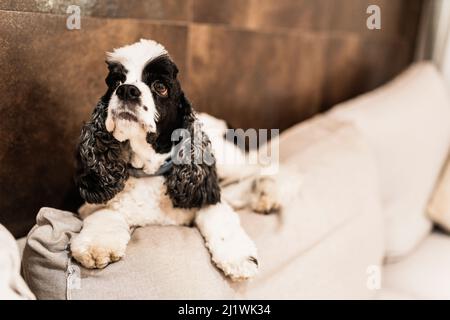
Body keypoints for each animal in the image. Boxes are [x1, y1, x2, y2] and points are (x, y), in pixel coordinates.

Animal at [71, 39, 280, 280]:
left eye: (160, 86)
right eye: (116, 82)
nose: (126, 90)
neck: (149, 171)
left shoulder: (204, 194)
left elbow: (220, 217)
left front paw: (240, 258)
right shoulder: (89, 204)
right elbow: (105, 211)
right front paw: (95, 247)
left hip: (231, 161)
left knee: (262, 168)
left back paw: (269, 193)